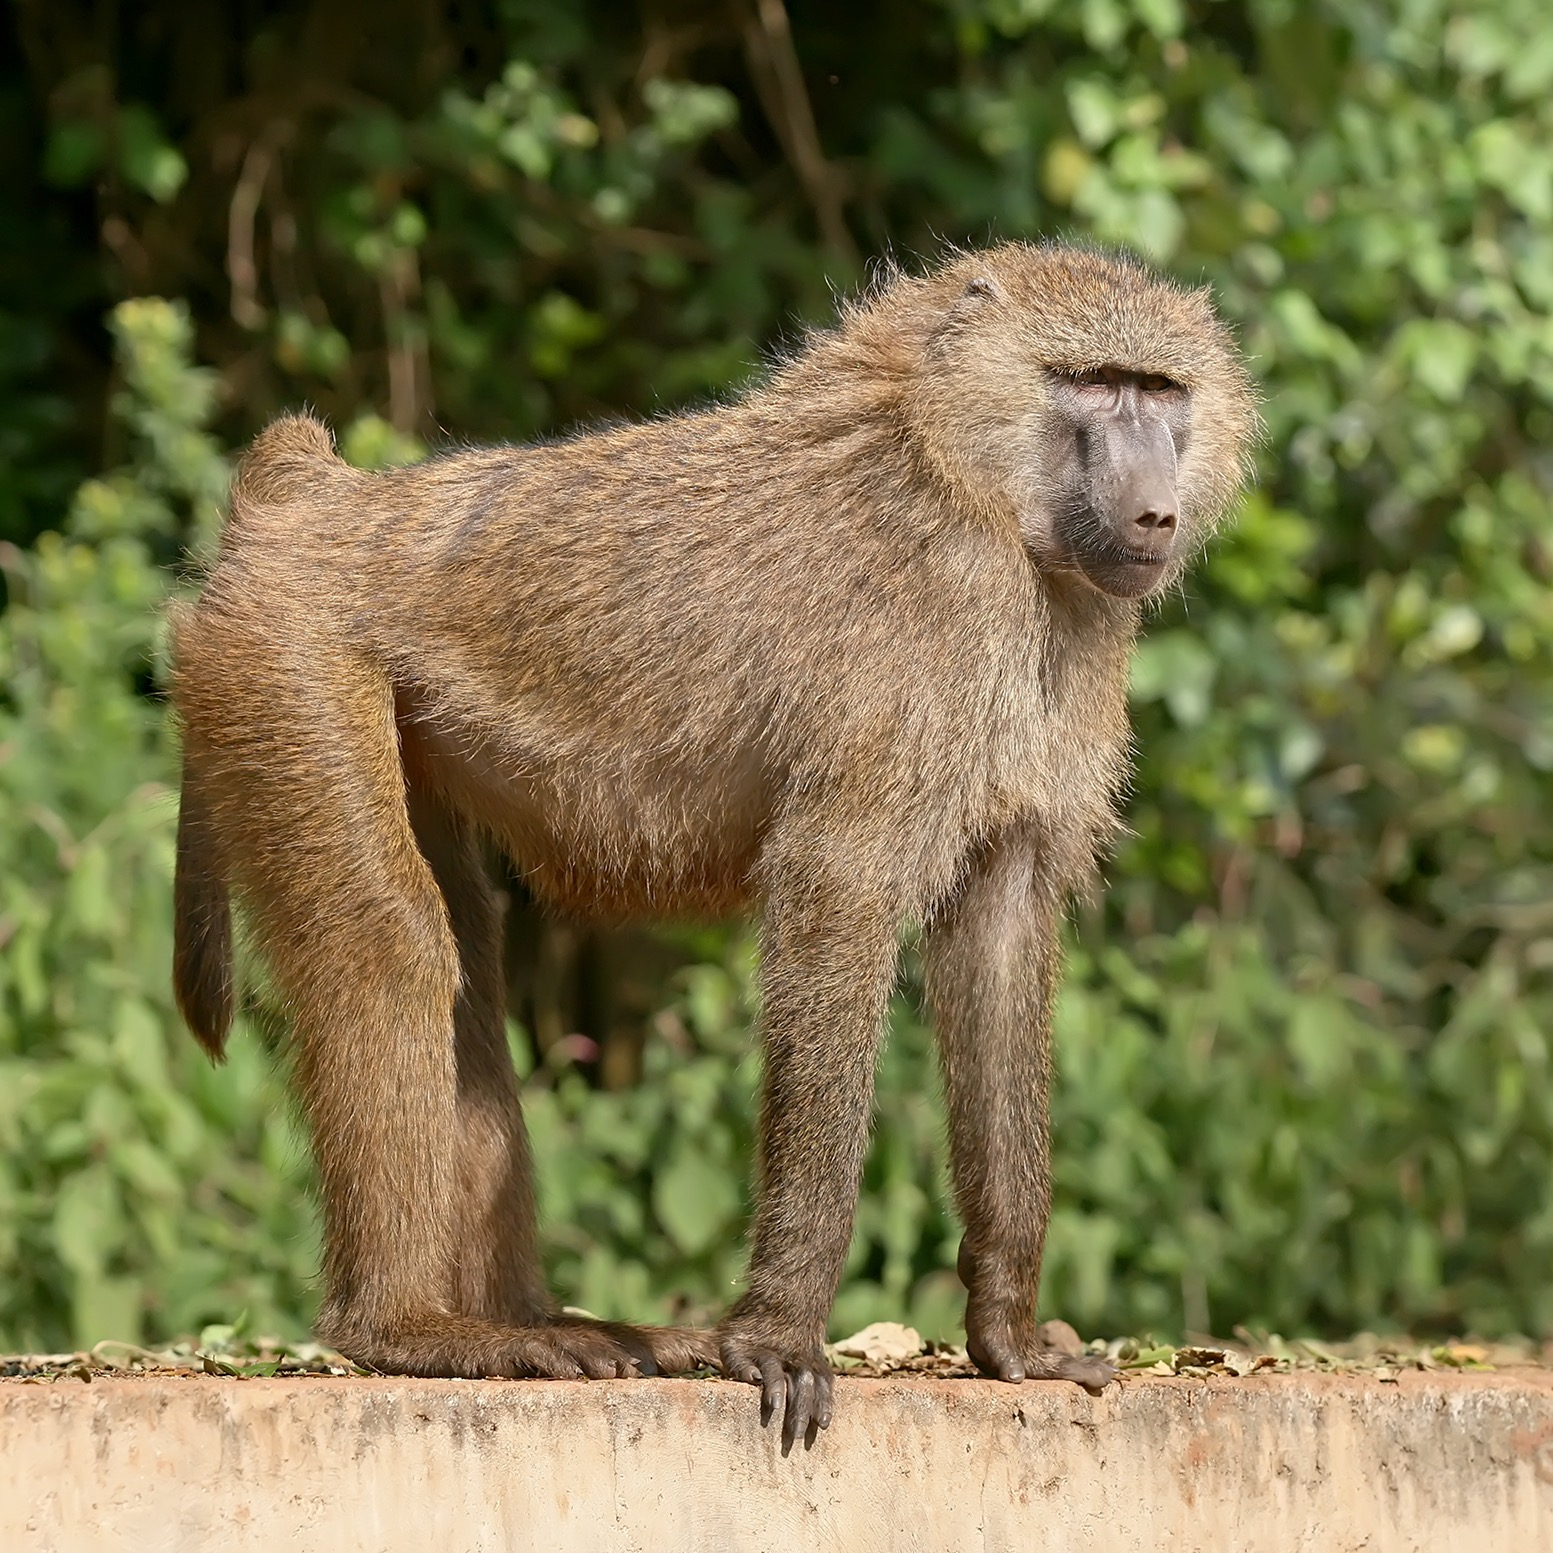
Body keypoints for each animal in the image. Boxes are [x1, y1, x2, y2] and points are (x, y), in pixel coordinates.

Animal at [170, 240, 1258, 1447]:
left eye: (1160, 390)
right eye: (1093, 383)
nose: (1154, 513)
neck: (966, 476)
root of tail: (316, 501)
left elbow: (1001, 935)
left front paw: (1010, 1337)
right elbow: (836, 893)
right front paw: (780, 1336)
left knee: (466, 982)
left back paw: (526, 1321)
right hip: (288, 658)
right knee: (391, 944)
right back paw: (412, 1329)